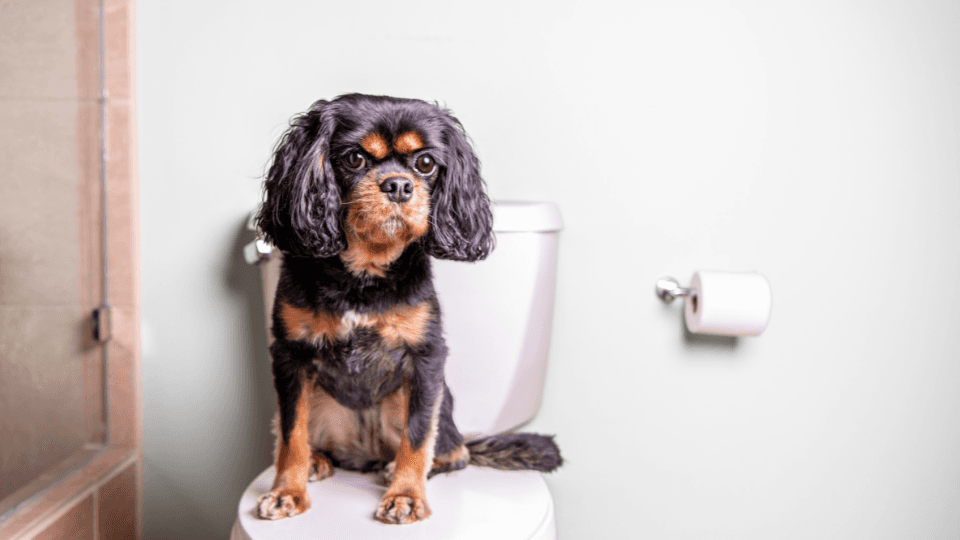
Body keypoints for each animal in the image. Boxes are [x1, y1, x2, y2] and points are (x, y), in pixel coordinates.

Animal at [253, 94, 564, 524]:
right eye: (354, 158)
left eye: (426, 163)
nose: (398, 185)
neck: (364, 275)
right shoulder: (290, 354)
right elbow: (290, 431)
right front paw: (287, 491)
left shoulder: (426, 357)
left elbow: (417, 437)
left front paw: (405, 496)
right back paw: (318, 460)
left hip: (427, 401)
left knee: (454, 451)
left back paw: (395, 467)